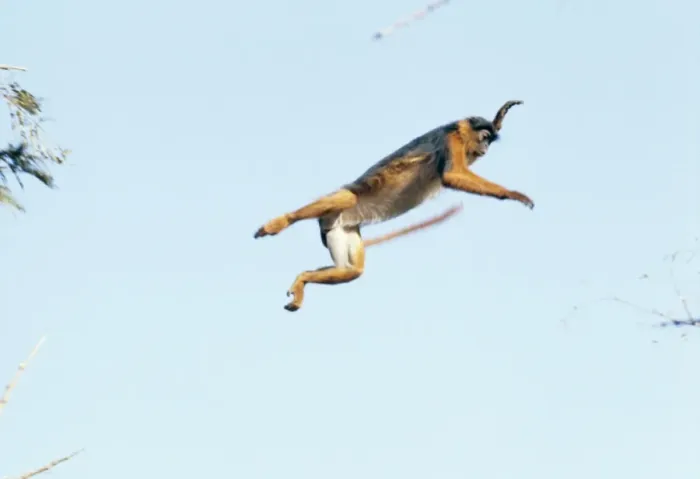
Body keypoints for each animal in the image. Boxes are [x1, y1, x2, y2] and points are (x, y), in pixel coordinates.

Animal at [254, 100, 533, 312]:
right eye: (484, 138)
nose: (485, 146)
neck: (461, 135)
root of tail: (327, 222)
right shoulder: (451, 139)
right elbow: (451, 176)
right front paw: (513, 194)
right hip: (334, 213)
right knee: (347, 198)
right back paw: (279, 223)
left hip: (341, 228)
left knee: (350, 270)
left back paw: (304, 278)